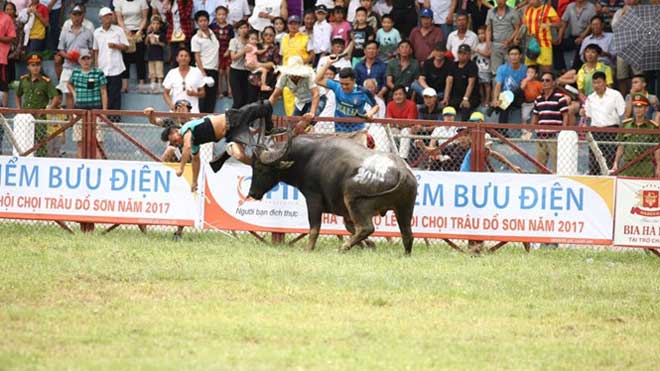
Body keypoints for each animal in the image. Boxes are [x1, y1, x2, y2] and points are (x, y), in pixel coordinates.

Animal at [248, 133, 418, 256]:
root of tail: (402, 171)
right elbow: (349, 227)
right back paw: (404, 254)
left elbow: (315, 227)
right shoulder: (345, 212)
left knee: (366, 228)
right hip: (404, 209)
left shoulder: (313, 198)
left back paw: (341, 248)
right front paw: (369, 244)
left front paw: (308, 249)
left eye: (261, 168)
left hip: (354, 201)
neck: (307, 158)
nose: (252, 193)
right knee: (407, 234)